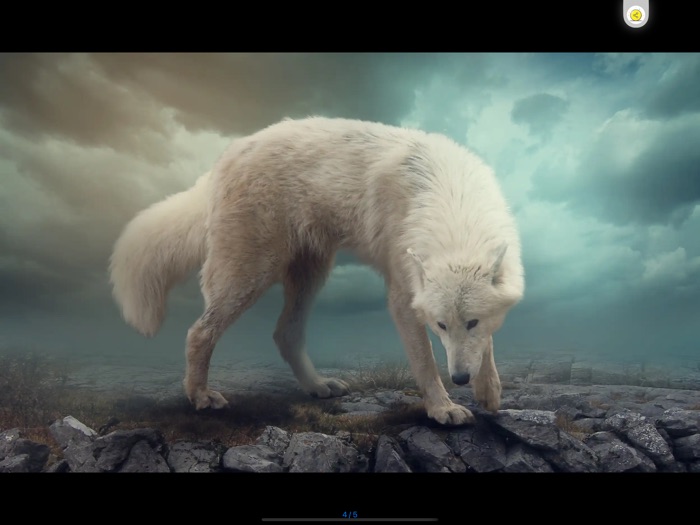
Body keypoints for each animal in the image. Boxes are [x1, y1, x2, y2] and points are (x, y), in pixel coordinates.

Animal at [110, 117, 525, 426]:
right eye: (440, 326)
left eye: (470, 322)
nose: (460, 378)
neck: (453, 203)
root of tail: (225, 157)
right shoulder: (402, 298)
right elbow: (424, 361)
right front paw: (442, 409)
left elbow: (486, 345)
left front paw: (489, 391)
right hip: (249, 274)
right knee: (199, 332)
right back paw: (200, 396)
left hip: (310, 274)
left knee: (285, 334)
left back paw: (317, 385)